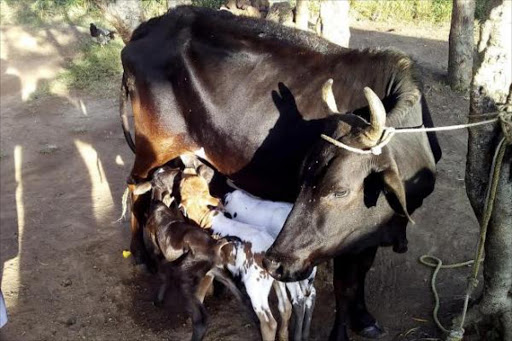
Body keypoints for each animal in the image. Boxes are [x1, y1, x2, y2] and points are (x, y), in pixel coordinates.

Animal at [119, 6, 440, 338]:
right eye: (303, 178)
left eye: (341, 190)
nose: (274, 262)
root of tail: (149, 27)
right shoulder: (340, 242)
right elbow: (345, 286)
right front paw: (341, 331)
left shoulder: (366, 234)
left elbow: (361, 274)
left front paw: (364, 318)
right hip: (153, 146)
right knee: (136, 190)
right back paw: (140, 255)